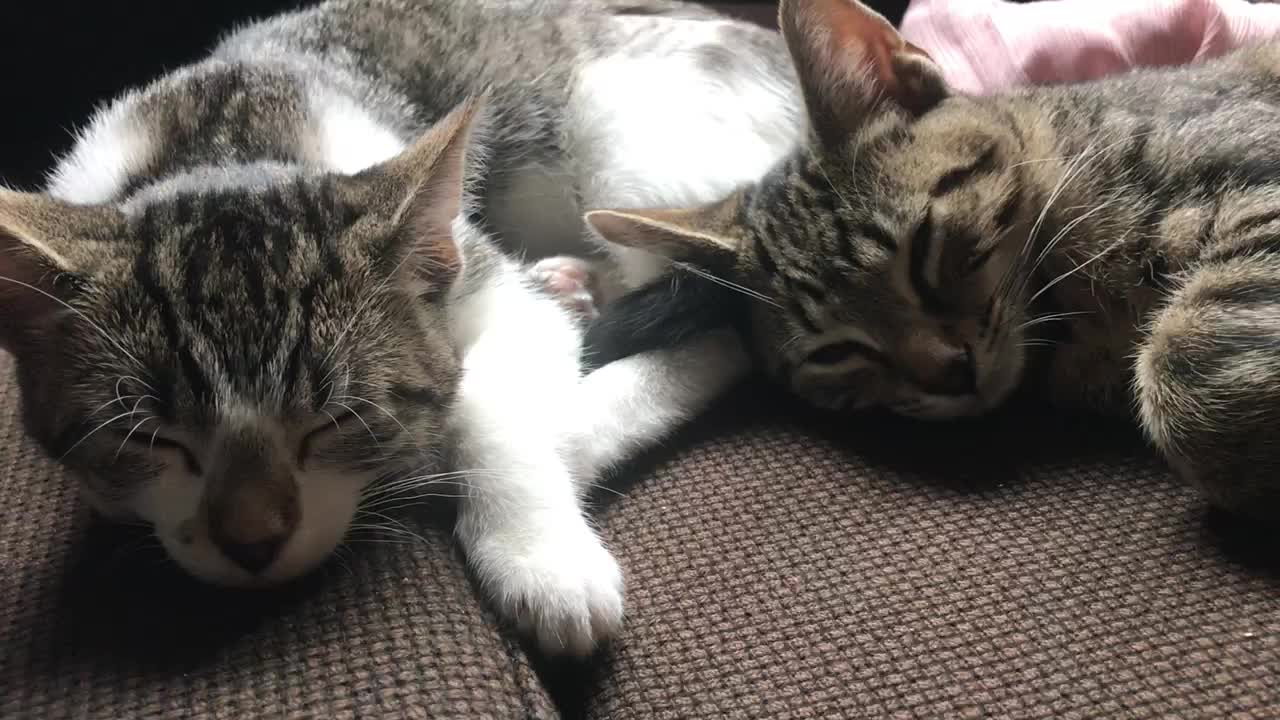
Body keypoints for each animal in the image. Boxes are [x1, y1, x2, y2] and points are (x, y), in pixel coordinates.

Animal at [0, 0, 798, 650]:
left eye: (335, 420)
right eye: (151, 439)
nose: (252, 545)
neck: (221, 144)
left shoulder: (481, 277)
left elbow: (484, 399)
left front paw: (539, 558)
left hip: (630, 146)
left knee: (725, 329)